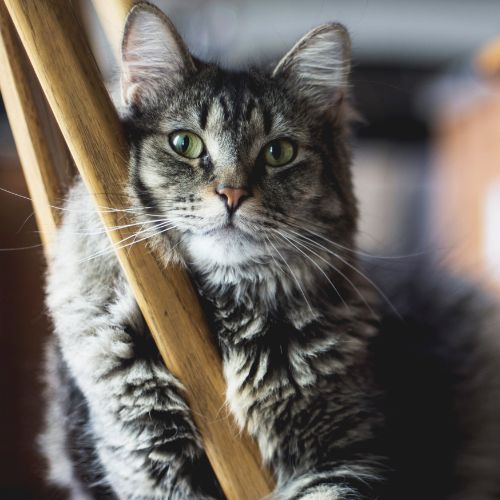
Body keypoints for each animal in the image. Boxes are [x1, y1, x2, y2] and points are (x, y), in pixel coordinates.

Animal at [40, 1, 500, 498]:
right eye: (185, 143)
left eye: (279, 152)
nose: (232, 194)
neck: (232, 321)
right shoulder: (144, 457)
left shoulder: (348, 456)